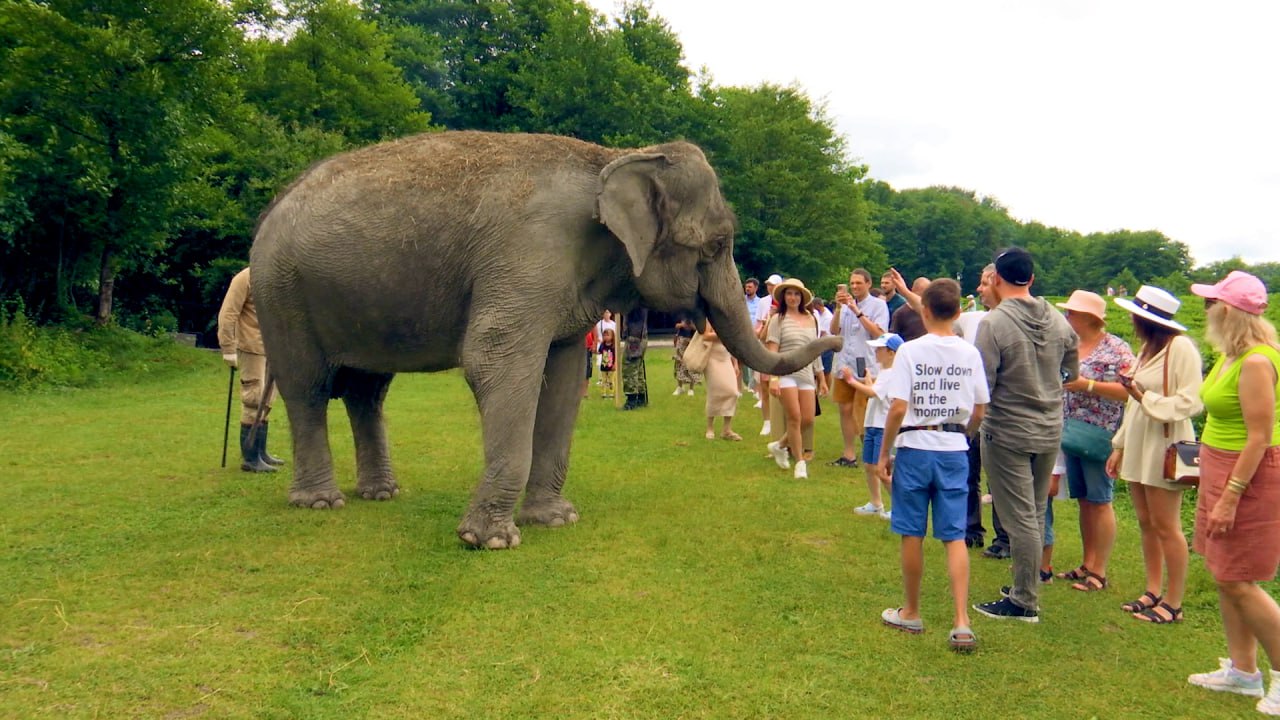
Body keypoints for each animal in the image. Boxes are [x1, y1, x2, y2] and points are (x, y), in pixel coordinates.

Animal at [252, 128, 839, 545]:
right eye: (716, 245)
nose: (831, 340)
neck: (612, 157)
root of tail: (274, 204)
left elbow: (562, 376)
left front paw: (554, 520)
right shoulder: (527, 256)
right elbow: (494, 361)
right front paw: (489, 540)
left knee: (367, 390)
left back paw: (381, 494)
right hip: (280, 291)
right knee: (307, 388)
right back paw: (320, 502)